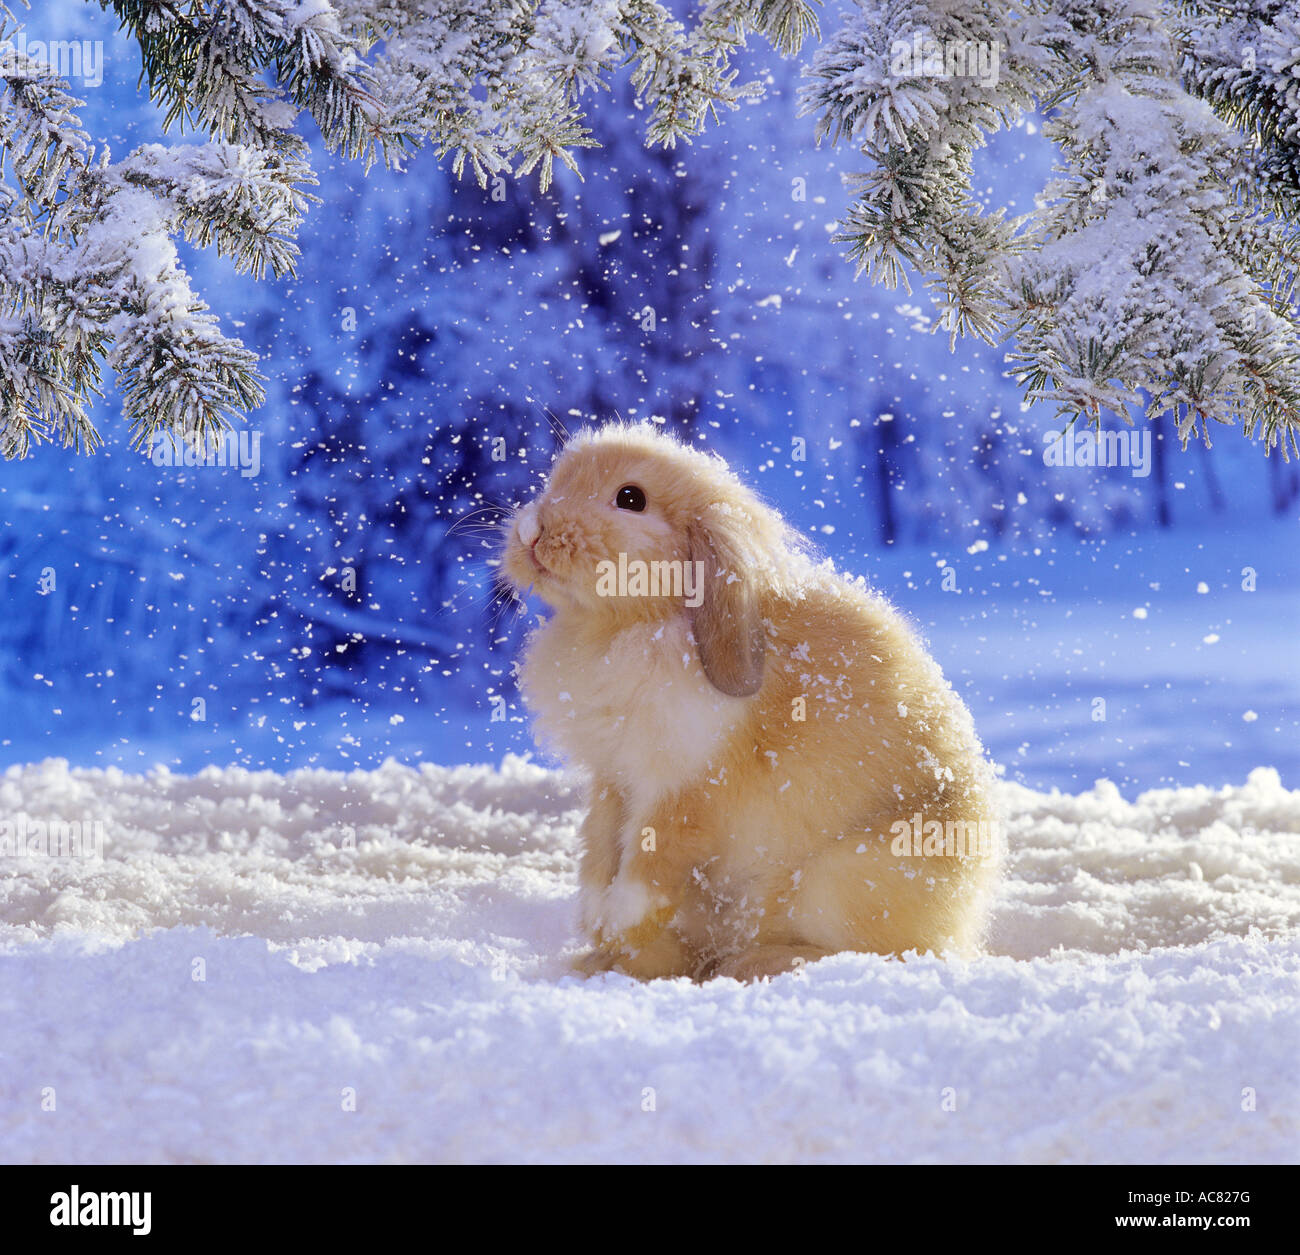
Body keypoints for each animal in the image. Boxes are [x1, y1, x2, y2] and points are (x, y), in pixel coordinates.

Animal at [499, 422, 1002, 982]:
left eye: (630, 499)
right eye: (556, 479)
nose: (531, 531)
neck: (631, 624)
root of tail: (962, 925)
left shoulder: (684, 787)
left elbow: (648, 867)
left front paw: (617, 928)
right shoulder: (612, 781)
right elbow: (600, 850)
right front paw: (595, 929)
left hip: (839, 883)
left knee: (880, 953)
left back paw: (750, 962)